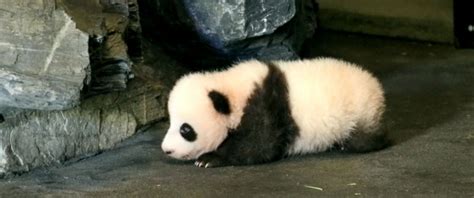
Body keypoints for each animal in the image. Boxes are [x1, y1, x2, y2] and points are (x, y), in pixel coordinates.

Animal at [161, 57, 386, 167]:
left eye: (186, 130)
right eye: (170, 123)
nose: (166, 150)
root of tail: (375, 84)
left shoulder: (266, 109)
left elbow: (257, 147)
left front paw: (209, 159)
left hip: (360, 111)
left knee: (364, 138)